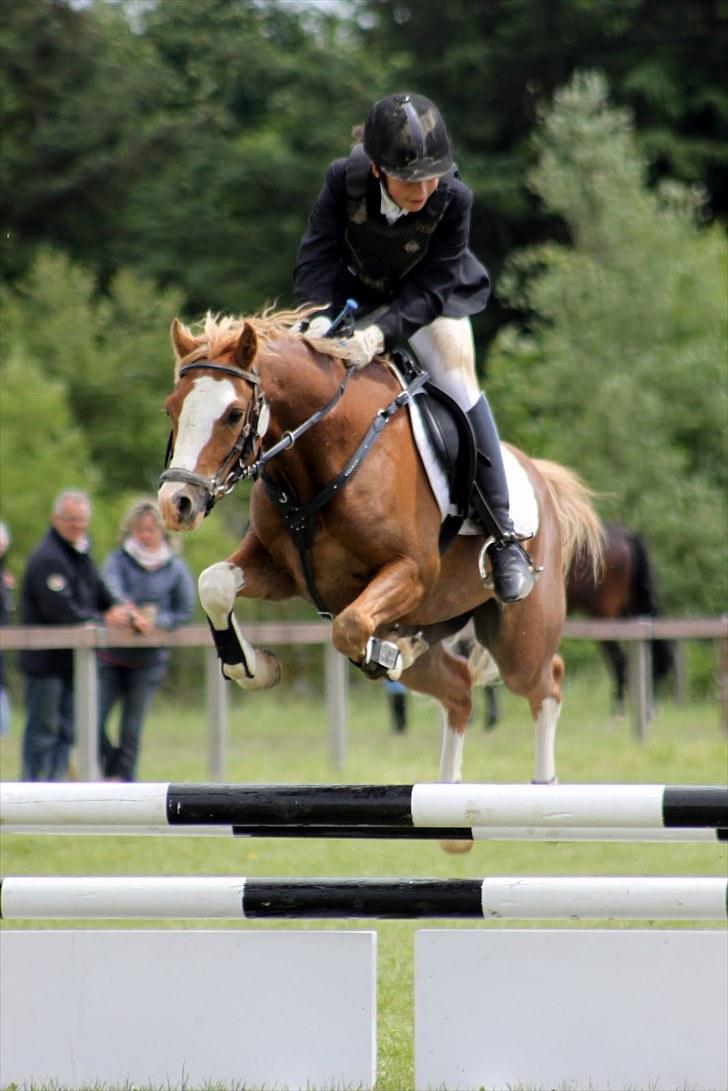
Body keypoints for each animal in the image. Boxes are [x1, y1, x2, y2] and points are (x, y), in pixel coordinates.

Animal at [157, 309, 603, 847]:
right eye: (172, 409)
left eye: (233, 414)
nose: (177, 504)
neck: (321, 456)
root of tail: (539, 474)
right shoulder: (279, 570)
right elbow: (214, 584)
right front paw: (254, 667)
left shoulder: (411, 572)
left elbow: (348, 626)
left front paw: (379, 651)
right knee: (458, 688)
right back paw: (449, 812)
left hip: (518, 637)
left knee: (546, 681)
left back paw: (544, 799)